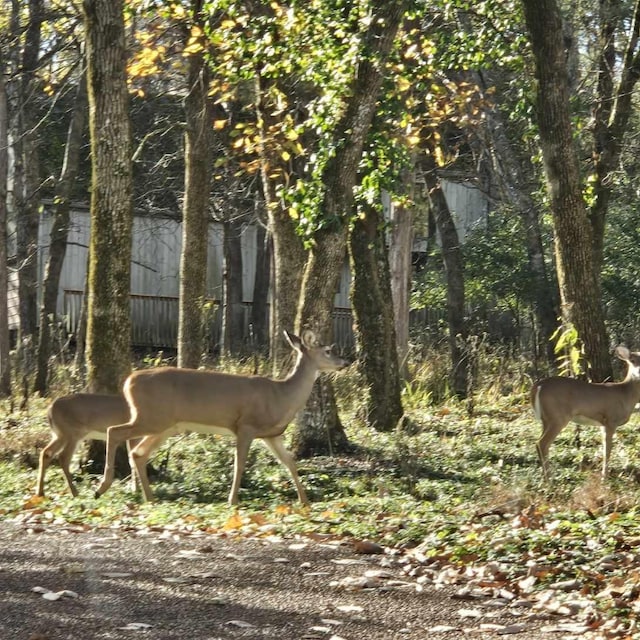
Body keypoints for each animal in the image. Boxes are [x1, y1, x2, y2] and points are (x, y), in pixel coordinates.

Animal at [94, 330, 350, 504]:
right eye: (328, 351)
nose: (346, 362)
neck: (281, 396)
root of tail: (128, 381)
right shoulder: (246, 425)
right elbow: (239, 464)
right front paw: (232, 499)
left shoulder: (271, 434)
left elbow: (290, 463)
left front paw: (304, 501)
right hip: (152, 417)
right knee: (114, 431)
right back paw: (103, 487)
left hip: (165, 424)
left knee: (138, 452)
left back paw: (149, 497)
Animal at [532, 344, 640, 480]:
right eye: (632, 360)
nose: (639, 372)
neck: (626, 394)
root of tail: (538, 386)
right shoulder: (610, 419)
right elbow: (608, 450)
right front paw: (604, 477)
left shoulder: (602, 424)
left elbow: (604, 448)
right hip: (558, 417)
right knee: (541, 443)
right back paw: (549, 479)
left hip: (546, 419)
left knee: (540, 444)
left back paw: (545, 477)